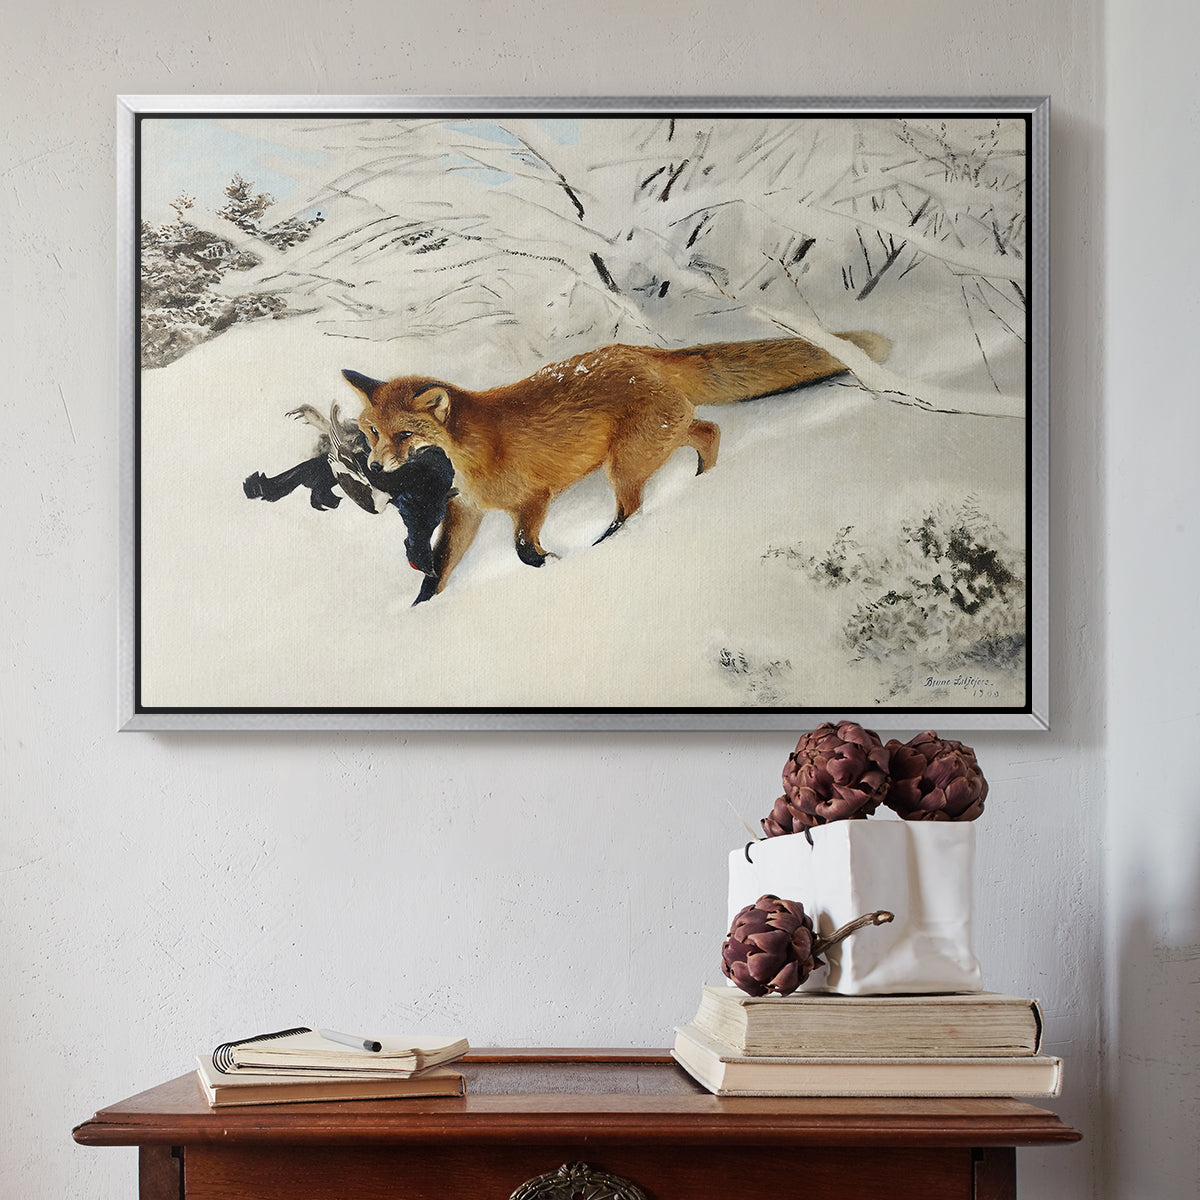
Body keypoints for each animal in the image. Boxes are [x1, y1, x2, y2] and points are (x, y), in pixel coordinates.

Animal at [343, 330, 891, 603]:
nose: (375, 465)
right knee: (709, 430)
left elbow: (523, 550)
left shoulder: (533, 499)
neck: (472, 453)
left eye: (404, 435)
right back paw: (702, 481)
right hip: (655, 442)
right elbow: (438, 569)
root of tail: (640, 352)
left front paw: (553, 564)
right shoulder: (466, 511)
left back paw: (610, 543)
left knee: (634, 506)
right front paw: (421, 611)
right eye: (372, 431)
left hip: (624, 464)